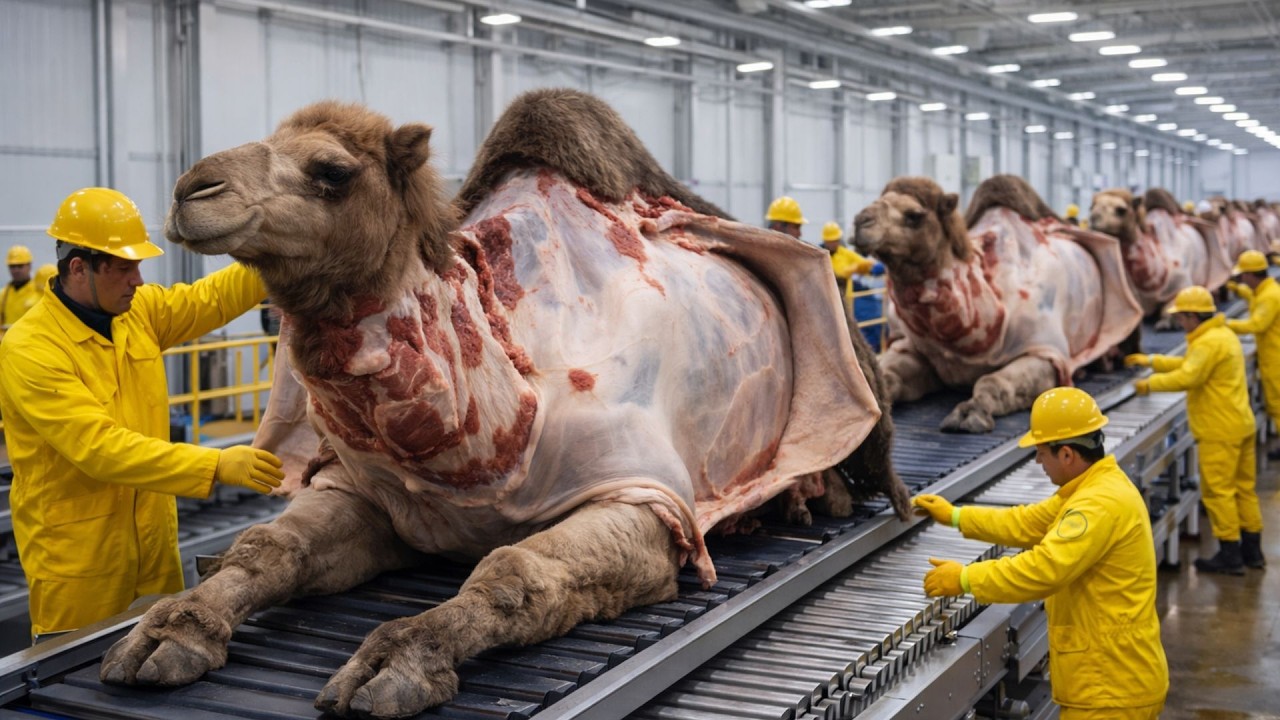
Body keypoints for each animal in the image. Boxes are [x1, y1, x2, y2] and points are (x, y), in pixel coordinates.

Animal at [99, 90, 908, 719]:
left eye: (332, 171)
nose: (192, 190)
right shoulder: (368, 494)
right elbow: (270, 546)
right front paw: (166, 633)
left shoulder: (648, 502)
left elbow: (515, 572)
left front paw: (394, 662)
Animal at [853, 174, 1142, 432]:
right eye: (879, 199)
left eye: (914, 215)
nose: (860, 222)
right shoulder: (914, 349)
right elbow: (886, 378)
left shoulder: (1046, 353)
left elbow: (993, 381)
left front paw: (969, 413)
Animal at [1090, 188, 1230, 322]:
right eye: (1091, 207)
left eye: (1121, 209)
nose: (1093, 219)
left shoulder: (1182, 283)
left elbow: (1171, 307)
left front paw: (1165, 323)